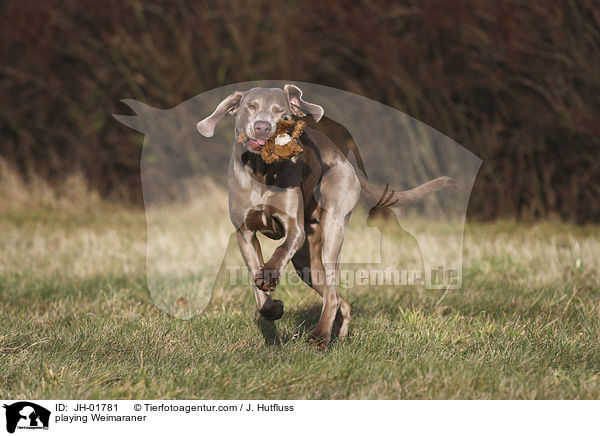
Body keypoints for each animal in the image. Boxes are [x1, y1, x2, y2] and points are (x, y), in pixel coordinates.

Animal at [197, 83, 454, 346]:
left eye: (281, 112)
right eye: (251, 106)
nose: (262, 127)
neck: (262, 171)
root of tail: (344, 161)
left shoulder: (294, 228)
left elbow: (280, 249)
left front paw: (269, 276)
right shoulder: (245, 233)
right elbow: (255, 280)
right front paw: (272, 307)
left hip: (333, 225)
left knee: (332, 290)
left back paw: (320, 335)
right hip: (306, 263)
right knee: (340, 299)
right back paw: (338, 333)